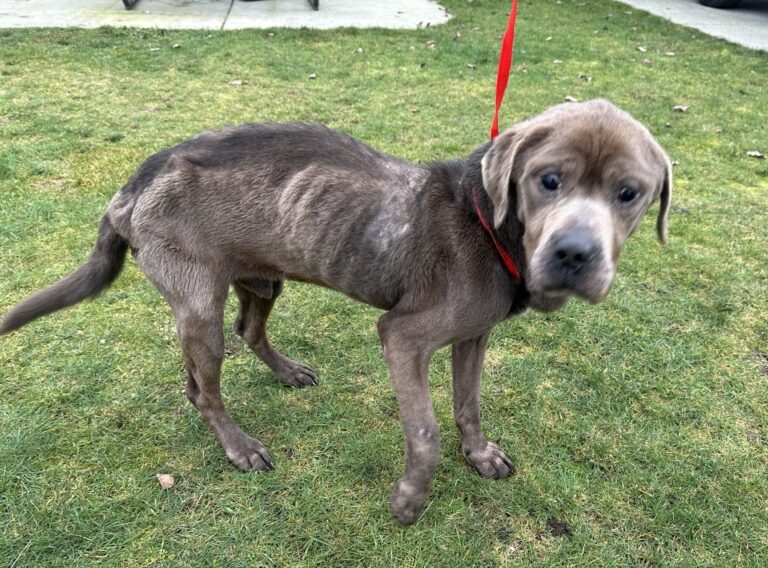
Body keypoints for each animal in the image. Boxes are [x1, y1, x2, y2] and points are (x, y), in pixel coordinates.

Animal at [0, 100, 668, 524]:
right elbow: (425, 432)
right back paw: (239, 446)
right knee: (208, 386)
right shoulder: (403, 337)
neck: (487, 224)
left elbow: (468, 405)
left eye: (628, 194)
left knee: (241, 335)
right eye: (547, 180)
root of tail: (133, 184)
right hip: (198, 304)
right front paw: (409, 502)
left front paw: (478, 455)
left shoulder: (474, 337)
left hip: (258, 280)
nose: (575, 254)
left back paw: (286, 372)